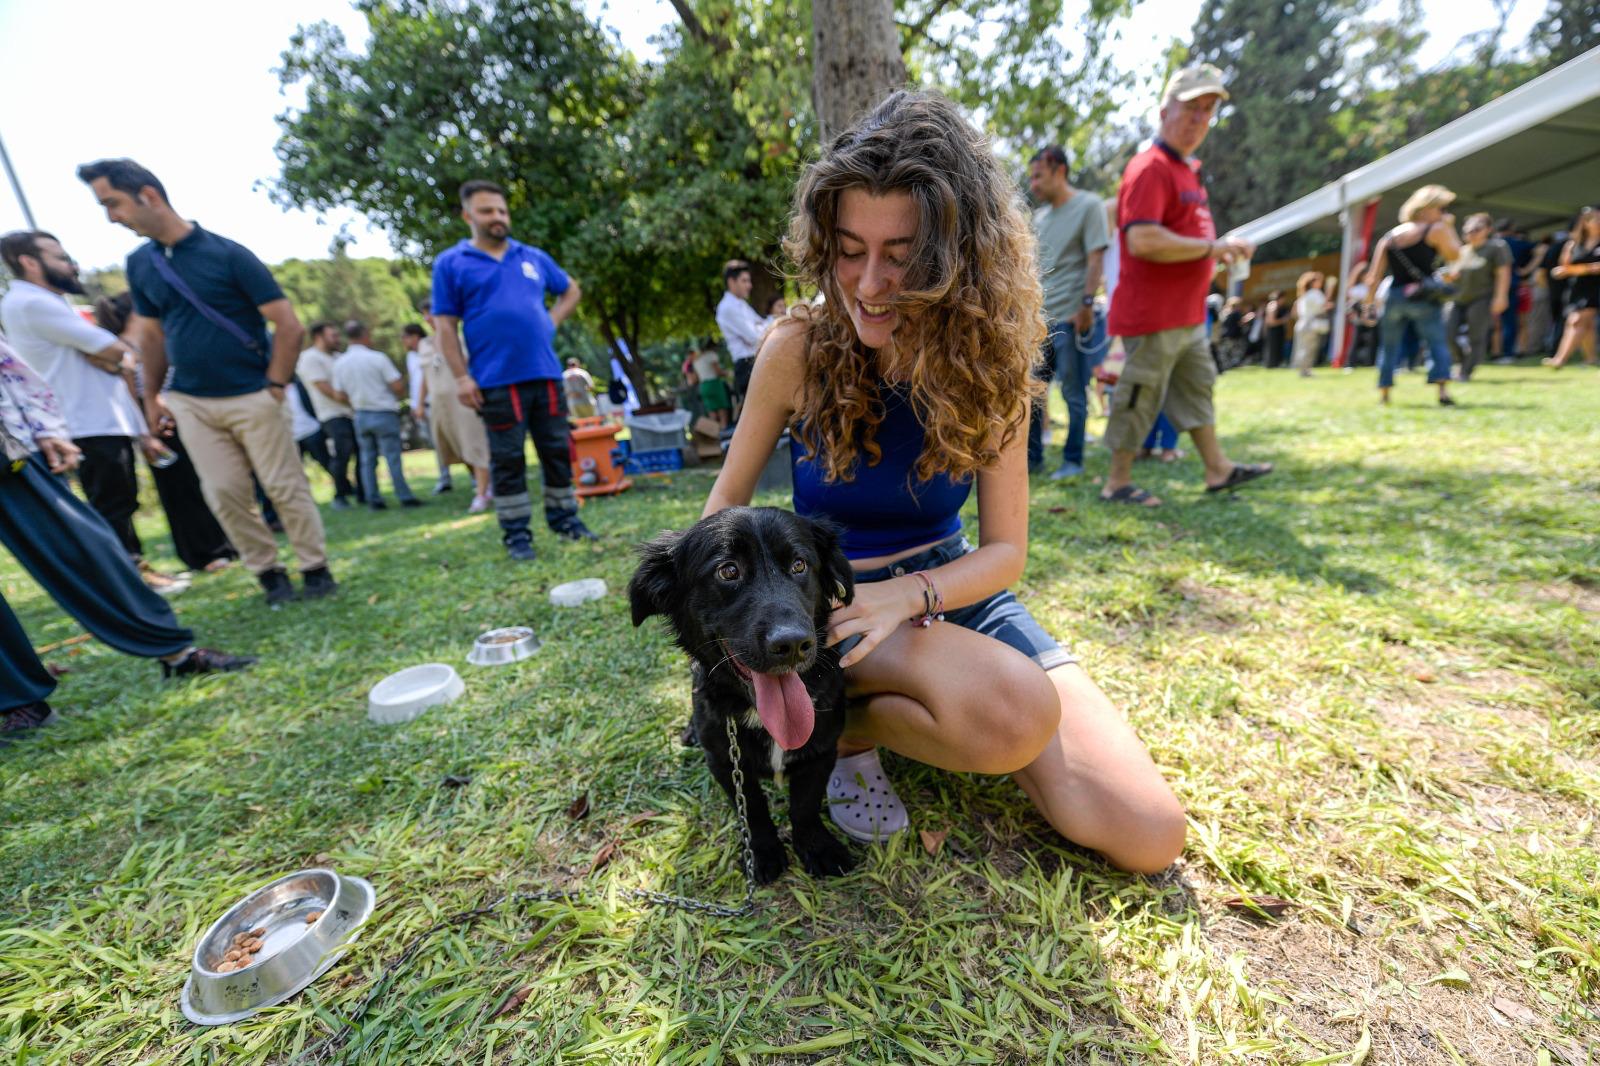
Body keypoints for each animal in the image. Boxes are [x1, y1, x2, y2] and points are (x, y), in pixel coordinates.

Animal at [627, 505, 864, 877]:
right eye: (728, 571)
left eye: (799, 565)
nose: (792, 644)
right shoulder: (725, 760)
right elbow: (752, 808)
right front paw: (763, 852)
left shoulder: (822, 750)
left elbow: (805, 804)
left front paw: (817, 847)